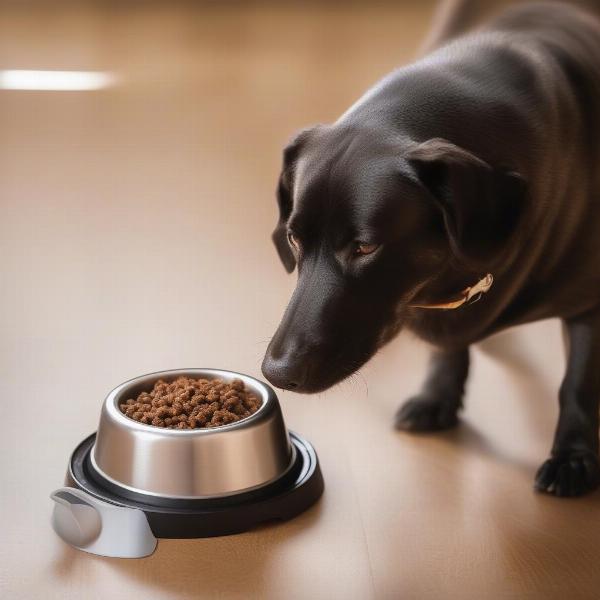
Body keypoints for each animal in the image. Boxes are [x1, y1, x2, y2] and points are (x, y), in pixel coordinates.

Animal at [260, 1, 600, 496]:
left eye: (365, 247)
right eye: (293, 239)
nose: (276, 373)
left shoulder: (589, 304)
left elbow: (577, 381)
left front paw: (573, 458)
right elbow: (447, 345)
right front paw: (437, 395)